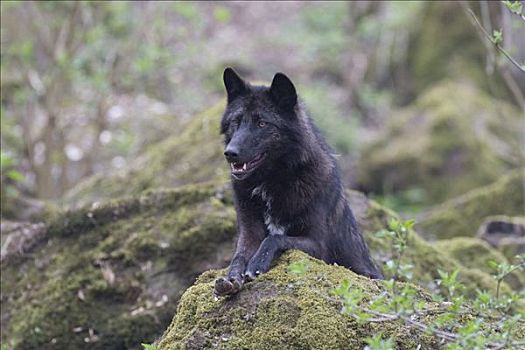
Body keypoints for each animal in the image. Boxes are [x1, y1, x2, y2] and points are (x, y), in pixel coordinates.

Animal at [213, 67, 380, 296]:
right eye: (235, 122)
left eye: (262, 123)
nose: (230, 153)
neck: (271, 183)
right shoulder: (249, 233)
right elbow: (239, 256)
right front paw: (232, 277)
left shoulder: (318, 246)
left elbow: (275, 238)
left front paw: (257, 263)